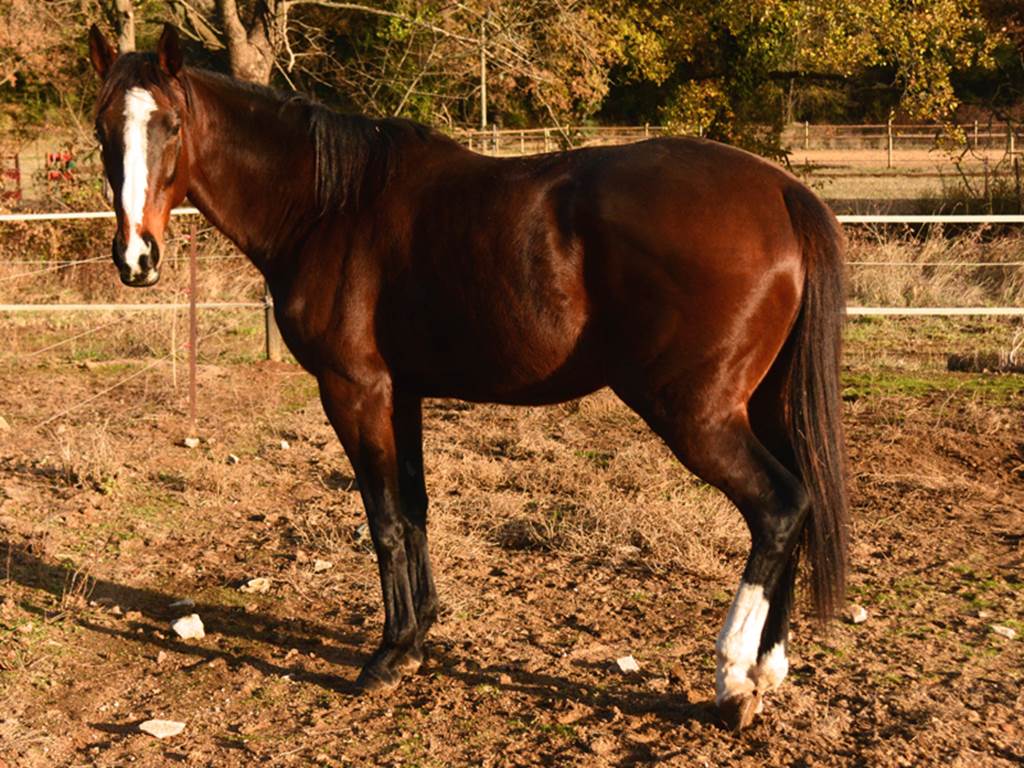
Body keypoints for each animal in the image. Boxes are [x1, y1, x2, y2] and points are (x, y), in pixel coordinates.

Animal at [87, 23, 849, 730]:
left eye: (171, 125)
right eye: (102, 128)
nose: (136, 257)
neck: (328, 208)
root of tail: (781, 192)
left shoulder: (354, 390)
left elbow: (384, 518)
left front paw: (388, 655)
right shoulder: (403, 393)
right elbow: (415, 511)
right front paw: (419, 635)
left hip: (696, 415)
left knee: (779, 507)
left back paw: (734, 679)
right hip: (763, 406)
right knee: (802, 501)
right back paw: (768, 668)